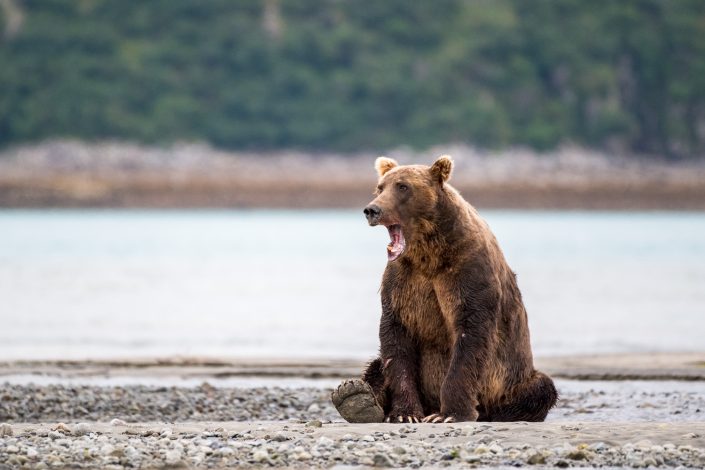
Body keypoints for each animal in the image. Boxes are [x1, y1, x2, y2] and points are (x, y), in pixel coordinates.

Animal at [330, 156, 556, 424]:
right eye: (380, 187)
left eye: (403, 186)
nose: (372, 210)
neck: (430, 253)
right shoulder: (402, 282)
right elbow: (395, 340)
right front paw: (405, 413)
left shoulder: (468, 271)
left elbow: (470, 336)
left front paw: (450, 414)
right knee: (376, 365)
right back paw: (355, 396)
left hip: (512, 378)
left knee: (540, 388)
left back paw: (490, 413)